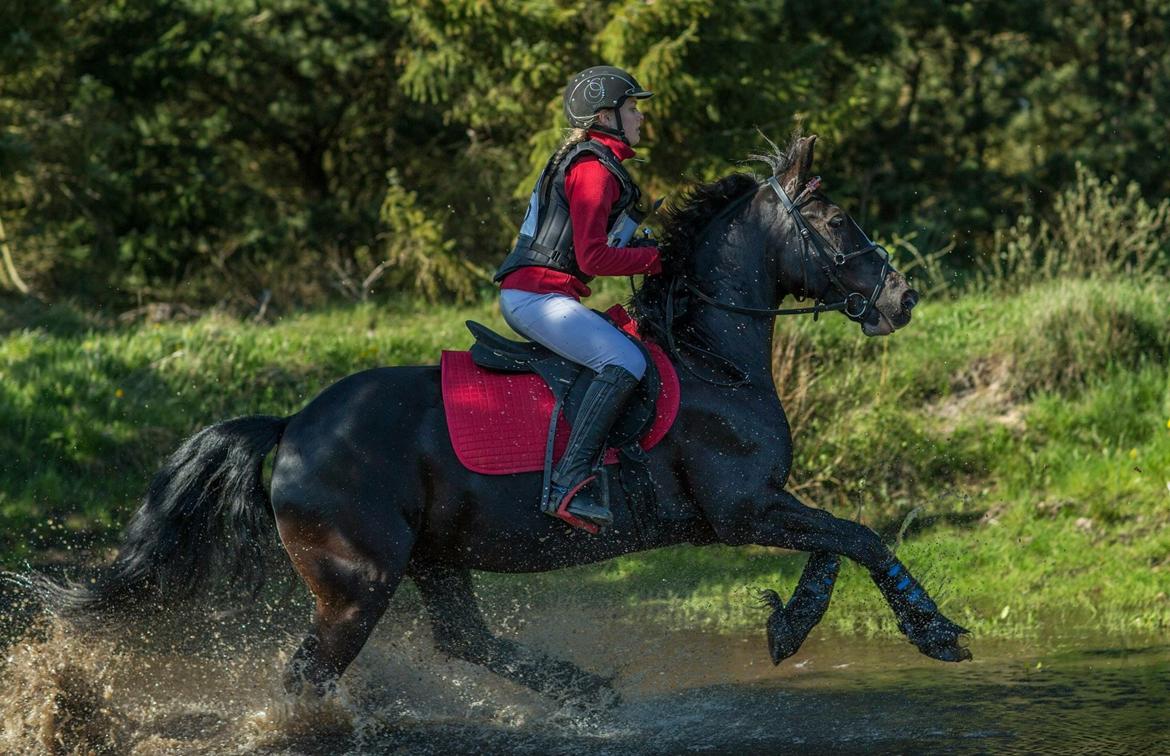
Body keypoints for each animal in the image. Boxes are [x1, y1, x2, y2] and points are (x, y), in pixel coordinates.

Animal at [34, 136, 968, 711]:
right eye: (838, 222)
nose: (901, 298)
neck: (712, 354)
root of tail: (294, 424)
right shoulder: (743, 510)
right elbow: (860, 535)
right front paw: (932, 632)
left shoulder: (757, 508)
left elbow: (837, 542)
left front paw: (790, 624)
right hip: (357, 582)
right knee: (309, 674)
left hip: (433, 558)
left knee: (463, 638)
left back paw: (586, 691)